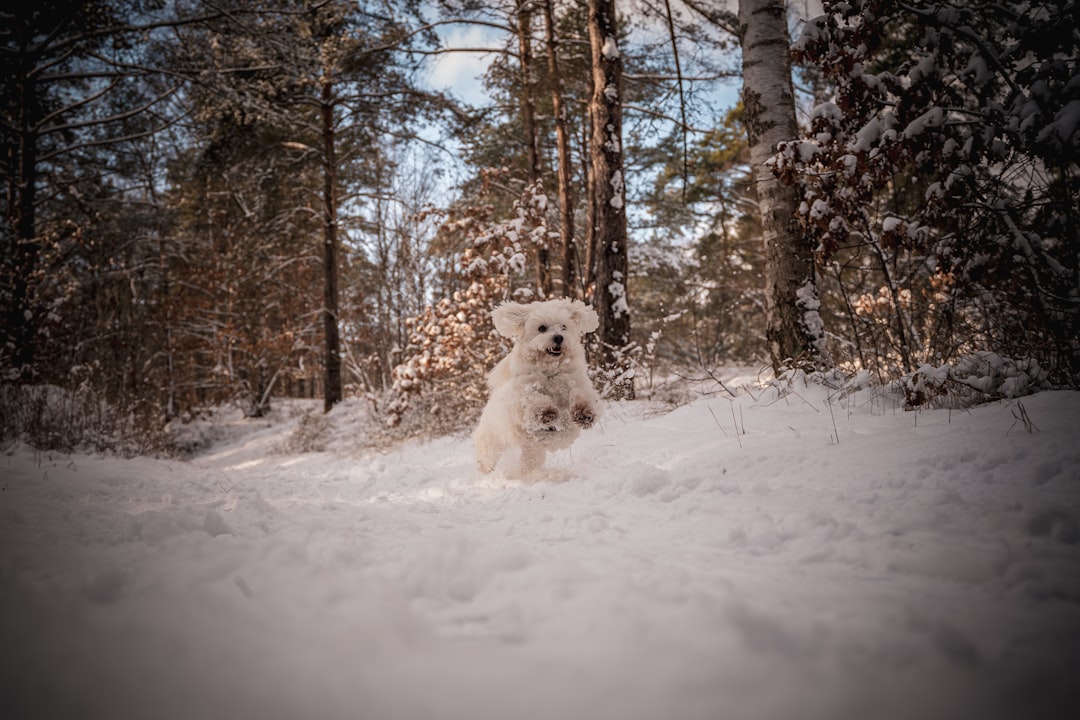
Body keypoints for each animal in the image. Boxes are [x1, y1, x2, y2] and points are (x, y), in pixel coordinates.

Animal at [477, 297, 604, 479]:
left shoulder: (578, 383)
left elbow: (581, 395)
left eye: (563, 326)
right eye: (542, 328)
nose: (558, 337)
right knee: (487, 458)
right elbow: (534, 399)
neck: (551, 372)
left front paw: (584, 413)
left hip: (532, 451)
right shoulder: (522, 396)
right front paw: (546, 413)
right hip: (492, 443)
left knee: (529, 462)